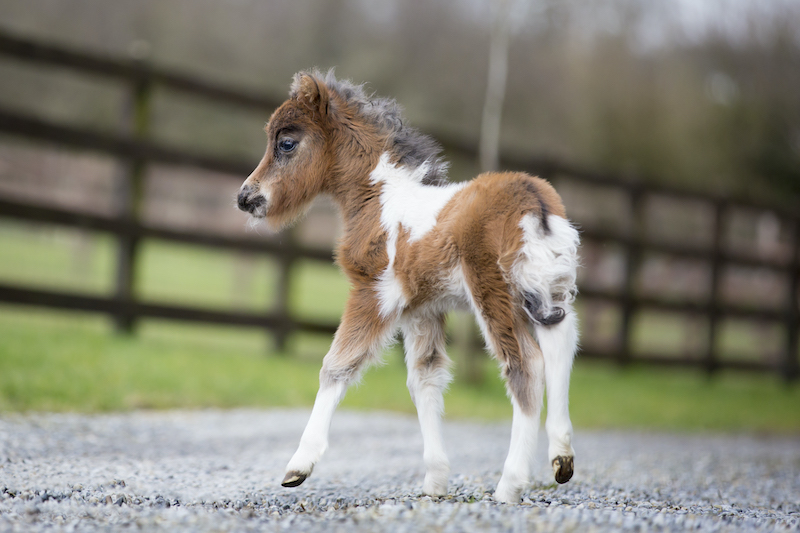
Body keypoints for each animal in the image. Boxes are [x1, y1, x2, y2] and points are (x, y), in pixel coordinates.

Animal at [236, 70, 580, 504]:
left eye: (286, 142)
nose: (246, 197)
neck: (381, 199)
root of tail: (535, 204)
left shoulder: (374, 293)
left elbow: (336, 365)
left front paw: (299, 465)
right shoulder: (424, 307)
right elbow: (425, 379)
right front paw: (435, 481)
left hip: (496, 294)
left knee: (526, 365)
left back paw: (510, 484)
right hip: (549, 290)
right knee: (561, 348)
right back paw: (562, 458)